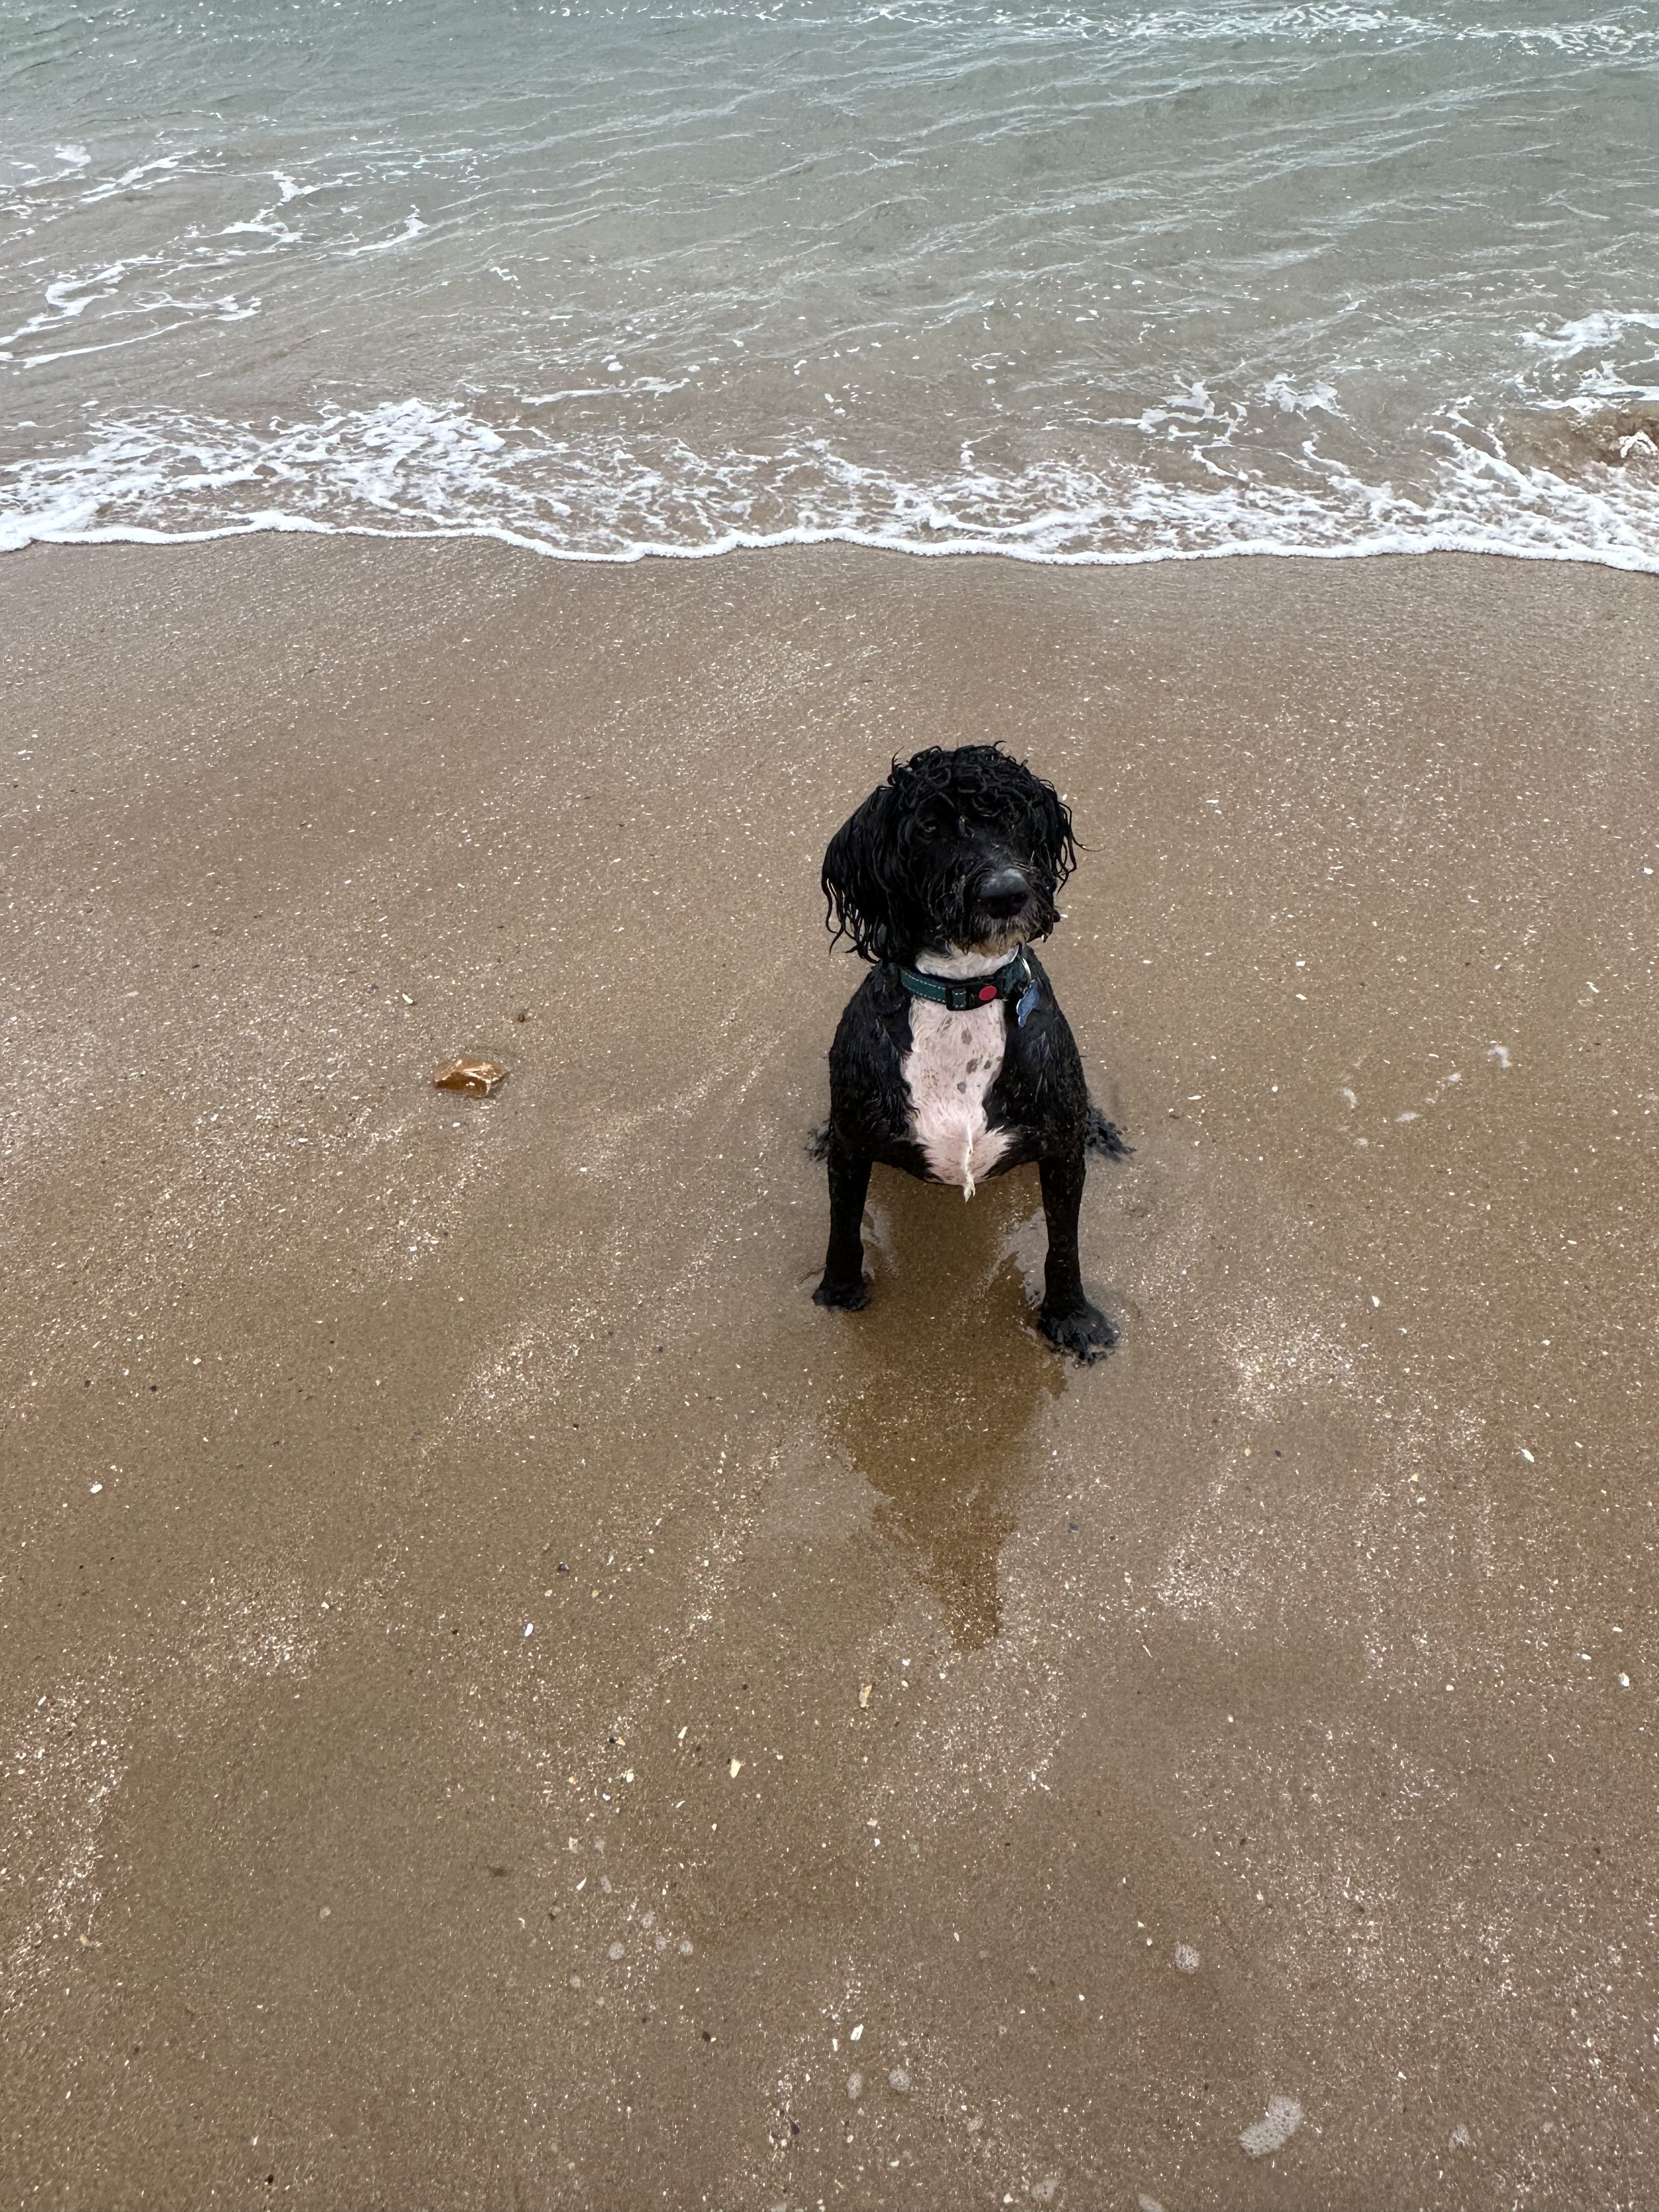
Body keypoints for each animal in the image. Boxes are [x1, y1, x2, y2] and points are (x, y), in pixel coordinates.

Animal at [812, 743, 1126, 1361]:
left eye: (1013, 816)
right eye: (929, 829)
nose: (1006, 893)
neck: (962, 995)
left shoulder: (1060, 1152)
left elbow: (1064, 1246)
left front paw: (1072, 1317)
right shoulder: (853, 1143)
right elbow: (843, 1226)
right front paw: (838, 1291)